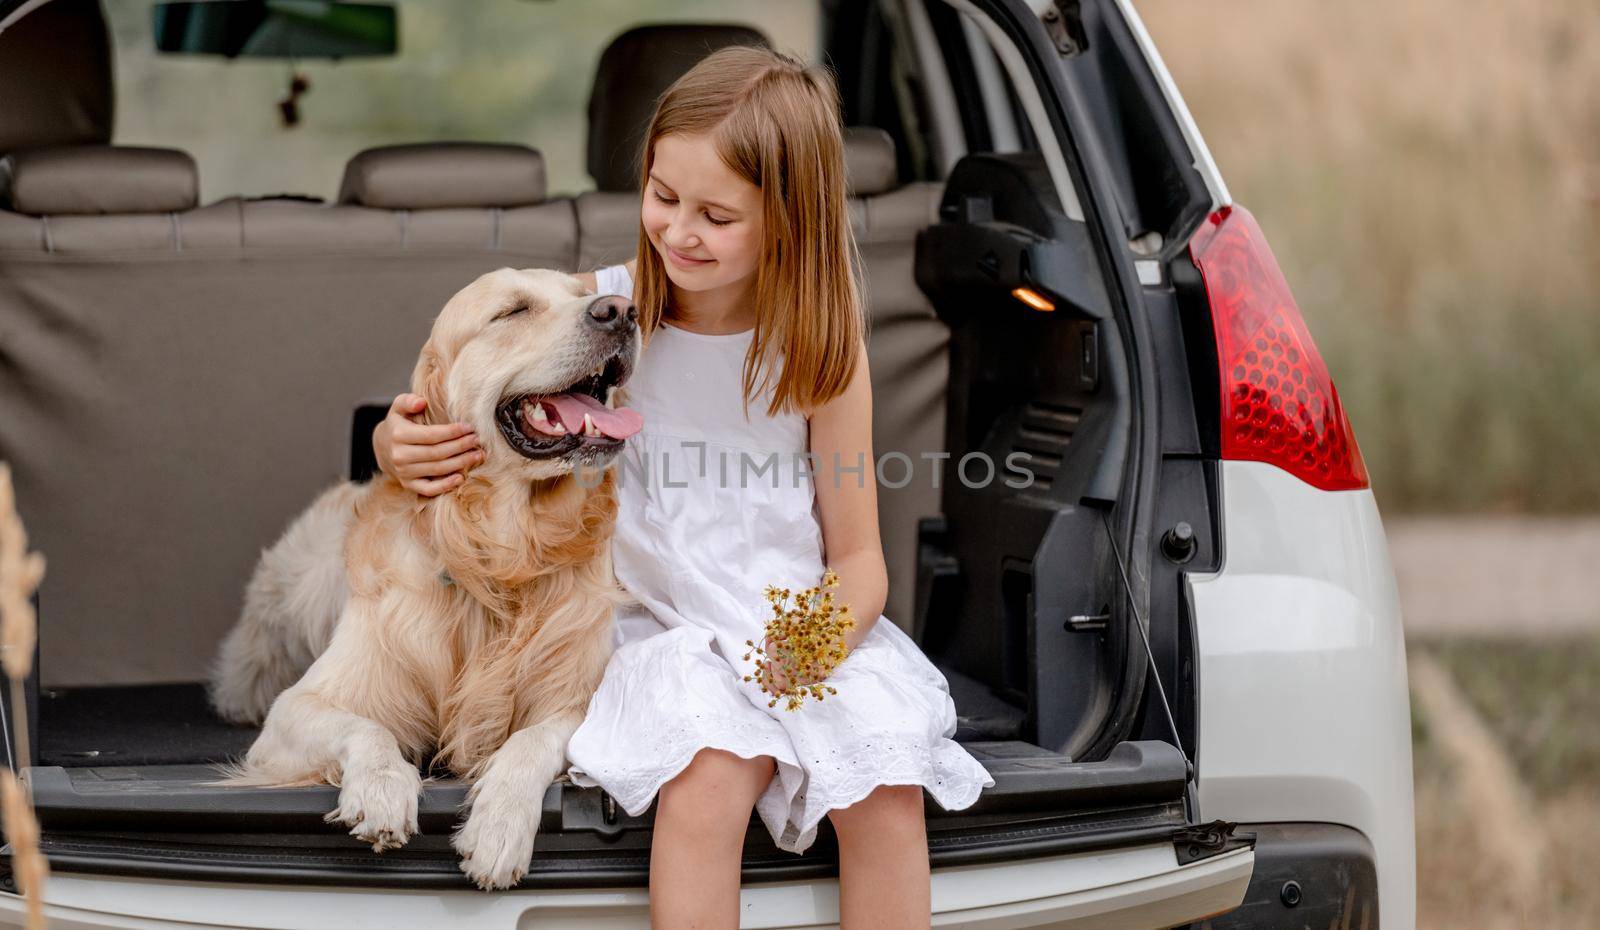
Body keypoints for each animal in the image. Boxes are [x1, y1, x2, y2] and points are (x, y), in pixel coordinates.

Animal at [206, 267, 643, 883]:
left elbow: (533, 739)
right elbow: (366, 726)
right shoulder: (298, 709)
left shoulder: (579, 698)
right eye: (512, 311)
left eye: (585, 292)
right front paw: (382, 788)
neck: (498, 554)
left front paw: (499, 825)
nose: (621, 310)